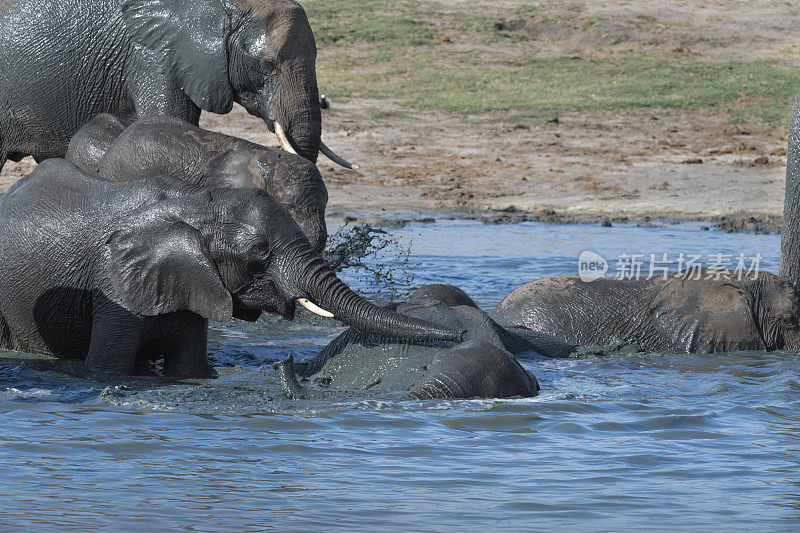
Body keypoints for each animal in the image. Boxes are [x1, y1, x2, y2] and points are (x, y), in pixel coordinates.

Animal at [0, 160, 462, 376]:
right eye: (259, 251)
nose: (458, 335)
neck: (193, 202)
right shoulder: (113, 284)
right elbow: (107, 367)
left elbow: (189, 369)